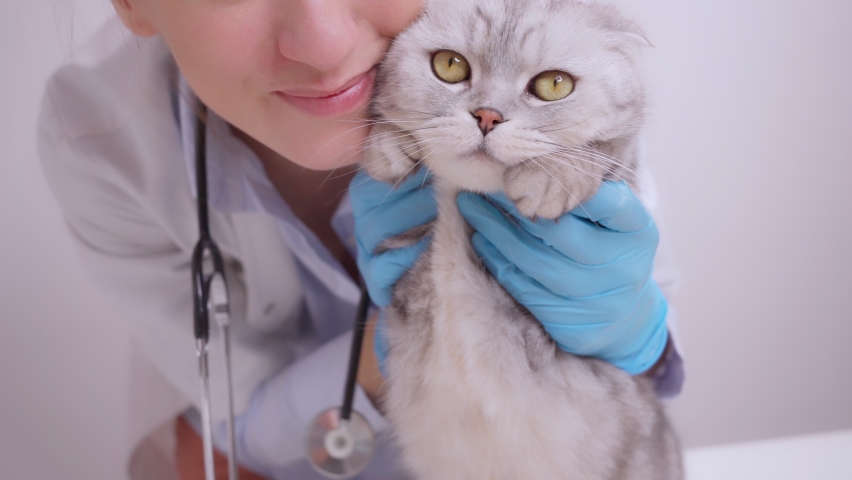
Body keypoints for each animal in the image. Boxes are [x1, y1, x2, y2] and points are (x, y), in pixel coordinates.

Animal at [362, 0, 684, 478]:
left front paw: (549, 179)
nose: (487, 116)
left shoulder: (626, 163)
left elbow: (608, 147)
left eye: (553, 85)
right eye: (450, 66)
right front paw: (388, 147)